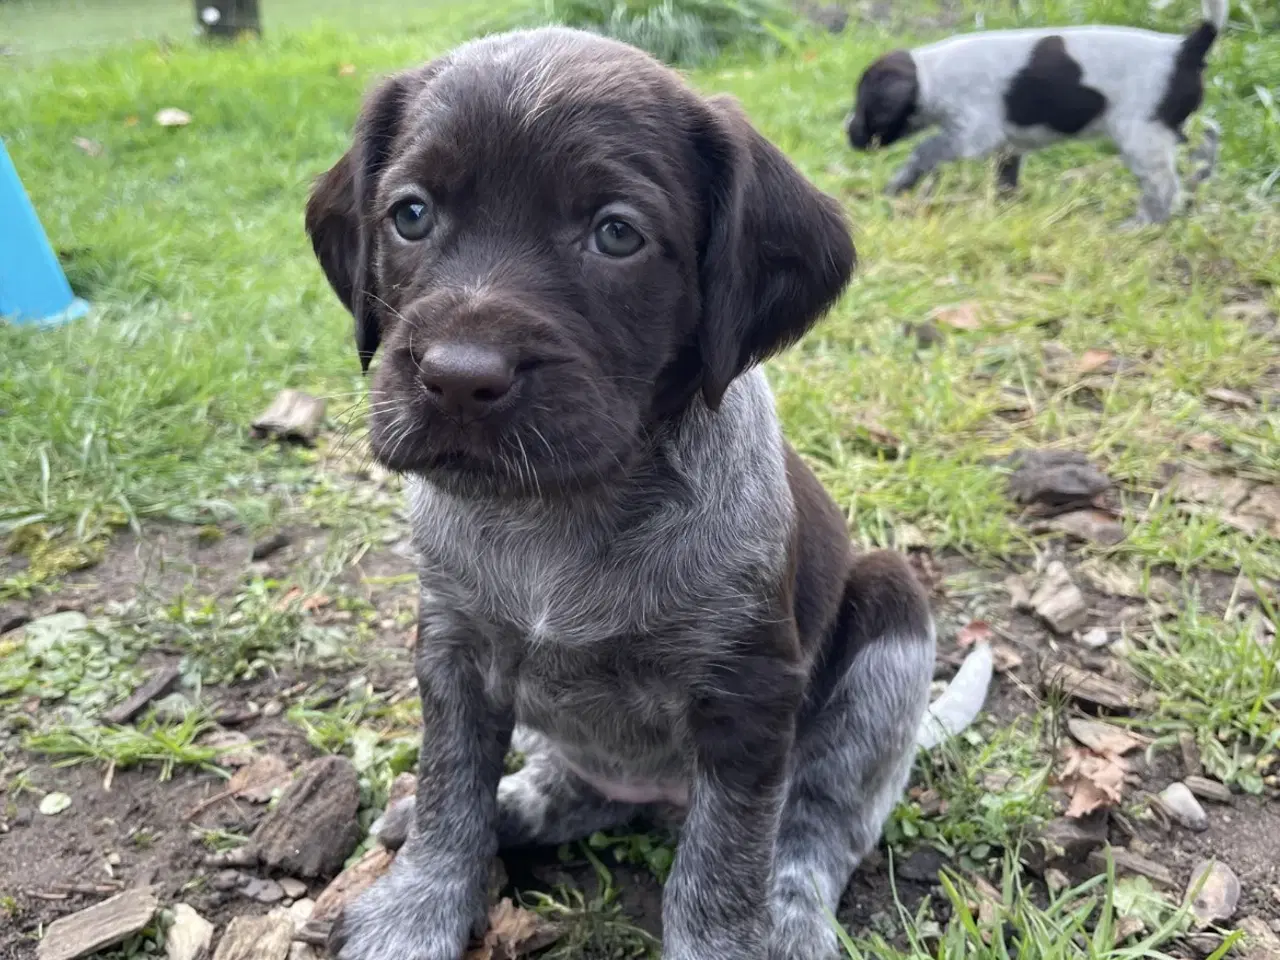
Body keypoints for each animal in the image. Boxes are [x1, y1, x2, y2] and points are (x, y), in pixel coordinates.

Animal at [307, 24, 988, 960]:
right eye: (409, 215)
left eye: (616, 235)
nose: (457, 379)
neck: (558, 513)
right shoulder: (454, 654)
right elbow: (451, 794)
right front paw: (420, 906)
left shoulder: (748, 696)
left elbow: (721, 865)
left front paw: (729, 934)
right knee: (567, 788)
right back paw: (511, 808)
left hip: (889, 622)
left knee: (819, 824)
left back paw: (792, 912)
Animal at [844, 0, 1223, 225]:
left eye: (866, 106)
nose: (848, 134)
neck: (930, 75)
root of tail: (1185, 49)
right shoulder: (1007, 146)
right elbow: (1006, 175)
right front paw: (1006, 205)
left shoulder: (973, 135)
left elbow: (925, 150)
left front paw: (899, 184)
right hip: (1169, 125)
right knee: (1207, 136)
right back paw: (1200, 178)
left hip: (1141, 137)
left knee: (1163, 186)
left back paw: (1143, 224)